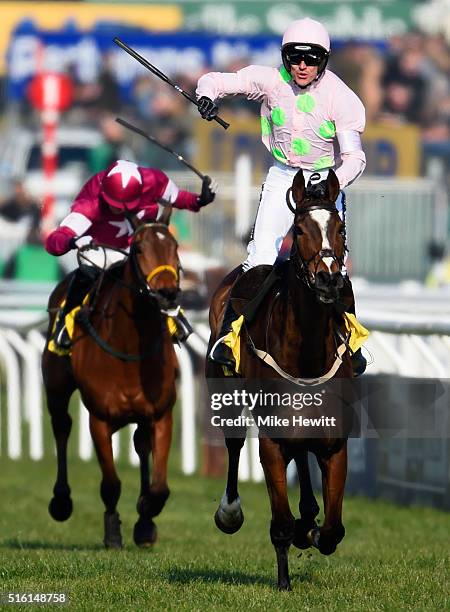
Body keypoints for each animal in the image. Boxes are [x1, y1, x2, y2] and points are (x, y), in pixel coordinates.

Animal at [41, 212, 179, 548]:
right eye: (139, 249)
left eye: (175, 247)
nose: (167, 293)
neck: (129, 347)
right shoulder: (100, 420)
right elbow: (111, 483)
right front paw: (113, 530)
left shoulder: (161, 415)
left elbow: (159, 488)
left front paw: (145, 517)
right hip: (56, 387)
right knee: (61, 426)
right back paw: (61, 501)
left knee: (141, 444)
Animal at [206, 167, 354, 588]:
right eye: (299, 229)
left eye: (339, 228)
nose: (328, 280)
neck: (307, 355)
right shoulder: (270, 440)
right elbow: (281, 523)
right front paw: (285, 581)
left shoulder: (335, 441)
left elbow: (334, 529)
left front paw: (314, 528)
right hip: (225, 393)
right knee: (234, 442)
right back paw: (230, 511)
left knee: (301, 454)